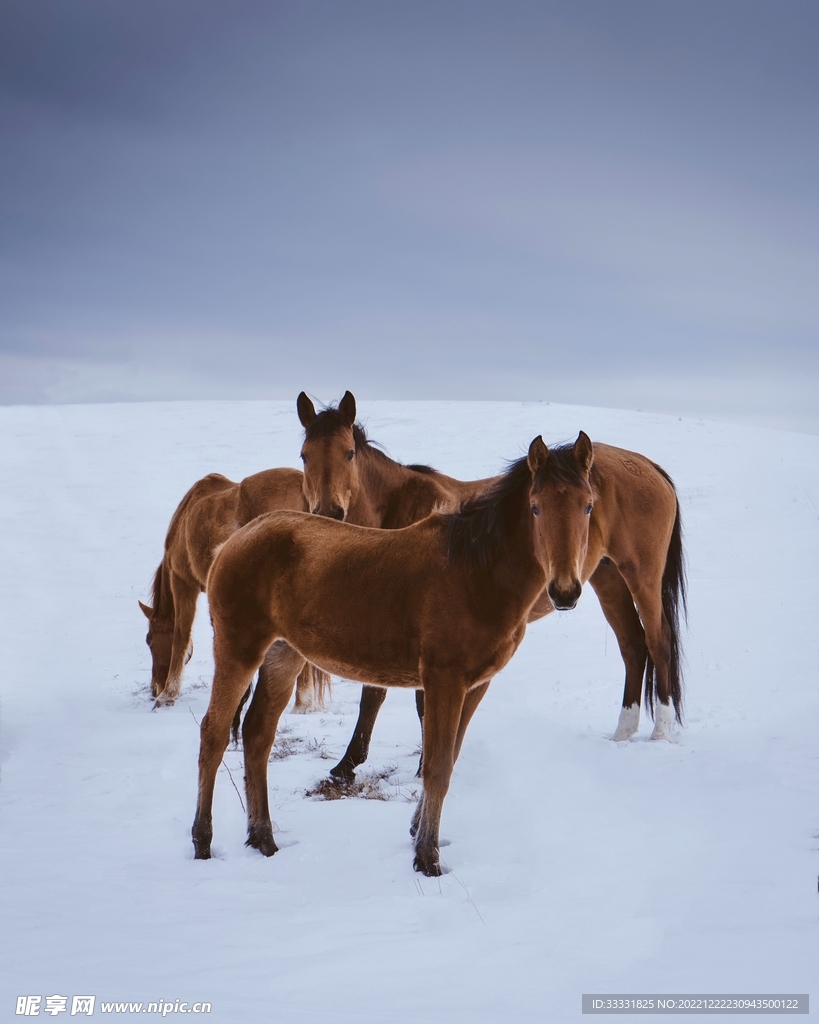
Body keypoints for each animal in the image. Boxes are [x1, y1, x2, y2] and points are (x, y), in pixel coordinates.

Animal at [192, 432, 685, 876]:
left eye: (587, 506)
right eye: (536, 506)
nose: (564, 591)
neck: (475, 572)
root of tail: (235, 540)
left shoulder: (475, 684)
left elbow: (446, 760)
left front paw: (417, 835)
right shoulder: (444, 680)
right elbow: (437, 767)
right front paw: (427, 859)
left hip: (283, 655)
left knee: (257, 734)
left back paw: (263, 839)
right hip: (239, 648)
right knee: (214, 733)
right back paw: (203, 842)